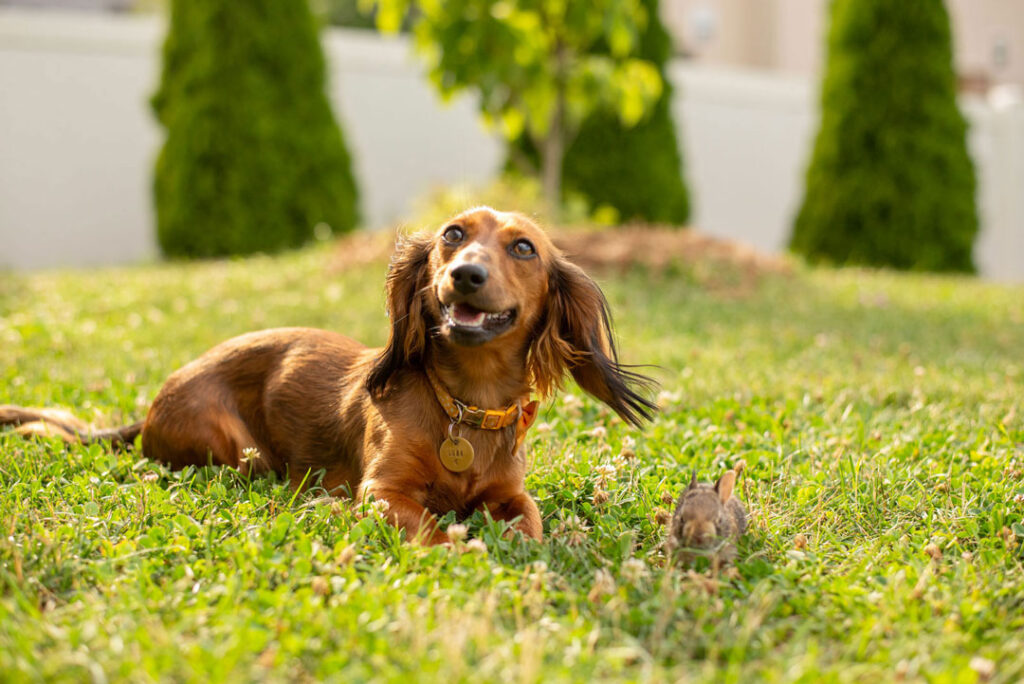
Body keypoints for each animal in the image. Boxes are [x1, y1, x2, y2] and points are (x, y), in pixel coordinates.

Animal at [0, 208, 651, 544]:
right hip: (236, 451)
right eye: (453, 235)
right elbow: (431, 528)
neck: (463, 406)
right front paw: (459, 546)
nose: (465, 275)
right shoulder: (382, 491)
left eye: (523, 248)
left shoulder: (511, 492)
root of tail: (153, 405)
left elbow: (529, 522)